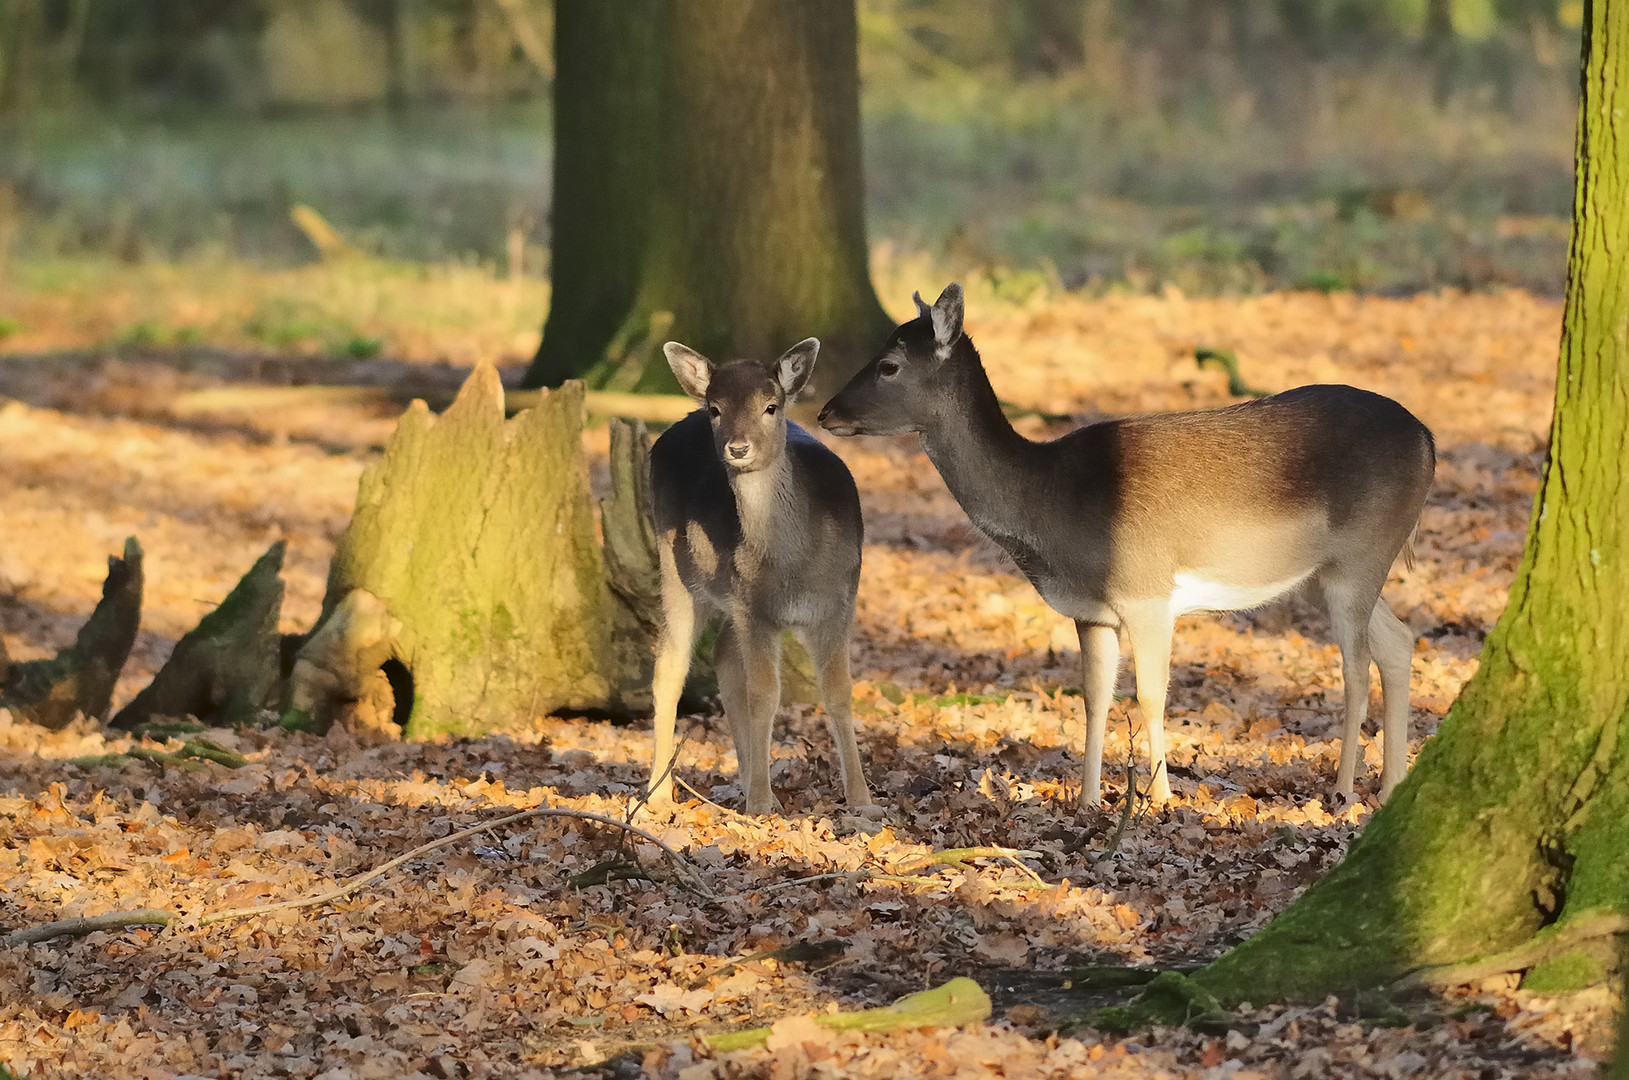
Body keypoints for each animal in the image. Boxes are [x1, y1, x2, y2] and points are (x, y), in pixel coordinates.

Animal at [645, 342, 873, 814]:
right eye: (715, 408)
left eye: (771, 406)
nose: (738, 447)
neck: (793, 568)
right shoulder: (755, 611)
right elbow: (766, 695)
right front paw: (763, 804)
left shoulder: (839, 604)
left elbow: (839, 692)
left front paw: (862, 799)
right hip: (676, 570)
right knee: (670, 668)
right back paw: (657, 794)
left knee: (723, 658)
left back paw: (747, 781)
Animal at [821, 285, 1433, 811]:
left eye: (889, 364)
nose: (826, 413)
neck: (1055, 506)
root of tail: (1428, 440)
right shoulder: (1091, 611)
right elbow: (1095, 698)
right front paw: (1089, 801)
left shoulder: (1147, 591)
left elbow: (1151, 695)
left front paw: (1159, 799)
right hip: (1320, 575)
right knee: (1398, 642)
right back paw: (1389, 787)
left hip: (1361, 553)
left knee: (1356, 666)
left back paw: (1343, 791)